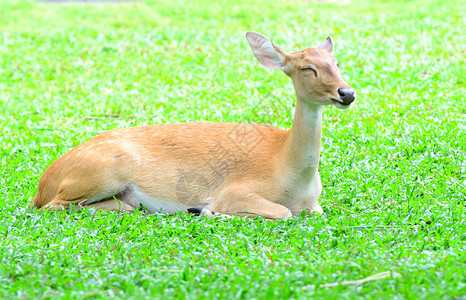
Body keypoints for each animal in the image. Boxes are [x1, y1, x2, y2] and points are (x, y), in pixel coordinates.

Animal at [31, 31, 354, 220]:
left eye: (336, 63)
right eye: (307, 68)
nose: (347, 93)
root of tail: (43, 185)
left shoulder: (315, 204)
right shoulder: (235, 190)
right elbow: (283, 213)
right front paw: (207, 210)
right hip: (102, 172)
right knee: (55, 206)